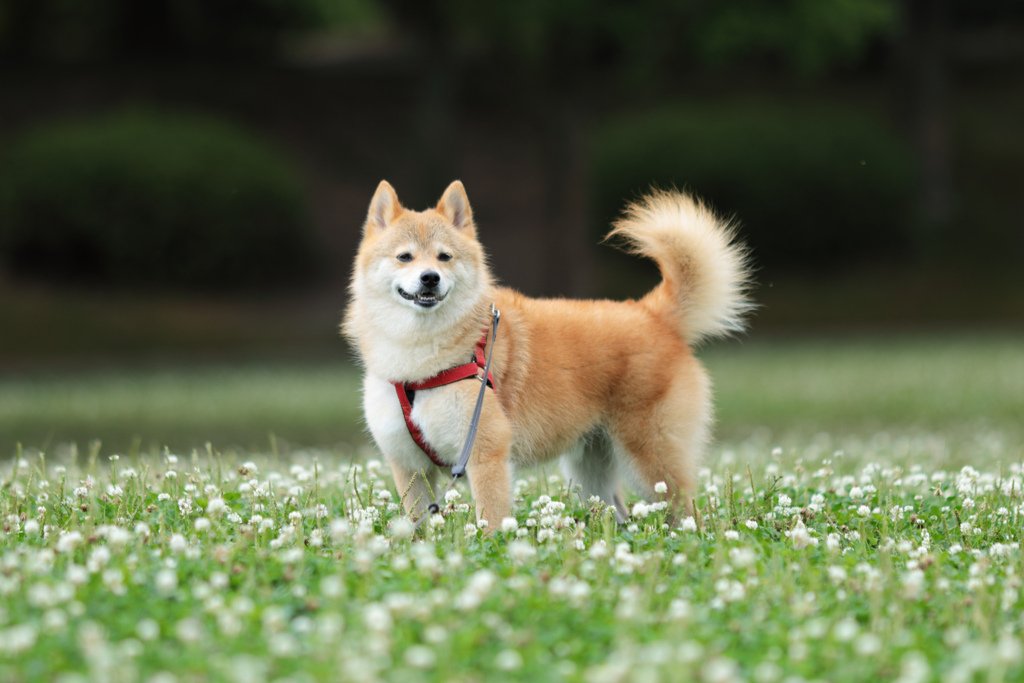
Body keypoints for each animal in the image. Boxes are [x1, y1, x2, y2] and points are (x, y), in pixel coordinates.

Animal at [344, 179, 753, 528]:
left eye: (444, 257)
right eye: (404, 257)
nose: (430, 277)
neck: (423, 360)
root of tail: (650, 314)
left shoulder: (484, 453)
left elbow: (490, 521)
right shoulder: (409, 466)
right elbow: (417, 526)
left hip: (652, 463)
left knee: (688, 515)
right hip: (592, 468)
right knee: (619, 513)